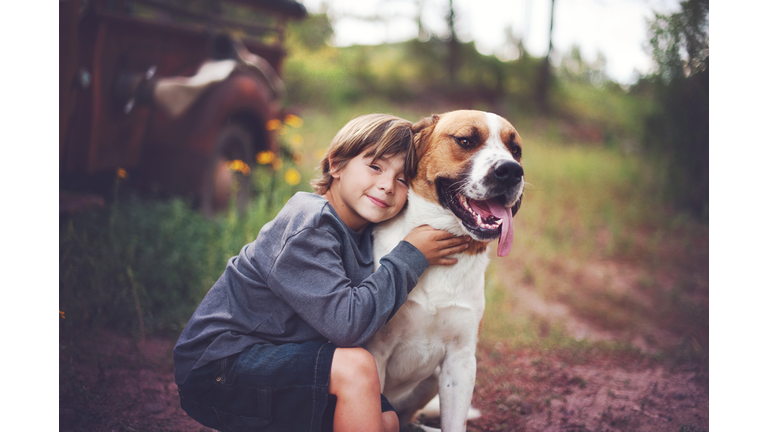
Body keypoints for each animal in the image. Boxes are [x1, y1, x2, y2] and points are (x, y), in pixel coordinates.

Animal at [364, 109, 520, 430]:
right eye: (466, 140)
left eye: (516, 150)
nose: (512, 171)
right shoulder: (376, 352)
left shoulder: (460, 361)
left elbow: (455, 422)